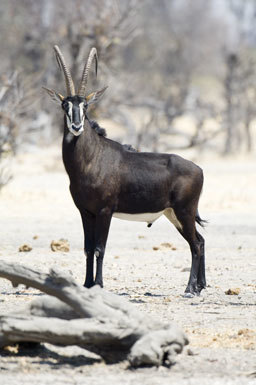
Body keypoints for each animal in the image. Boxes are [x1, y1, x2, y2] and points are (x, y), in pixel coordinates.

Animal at [43, 45, 205, 296]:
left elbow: (99, 248)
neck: (91, 160)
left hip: (184, 212)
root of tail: (198, 169)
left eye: (85, 105)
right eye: (65, 105)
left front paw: (98, 284)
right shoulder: (85, 212)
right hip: (174, 214)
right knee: (200, 240)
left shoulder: (104, 211)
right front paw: (86, 284)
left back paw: (190, 289)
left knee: (196, 244)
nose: (77, 127)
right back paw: (200, 287)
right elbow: (88, 249)